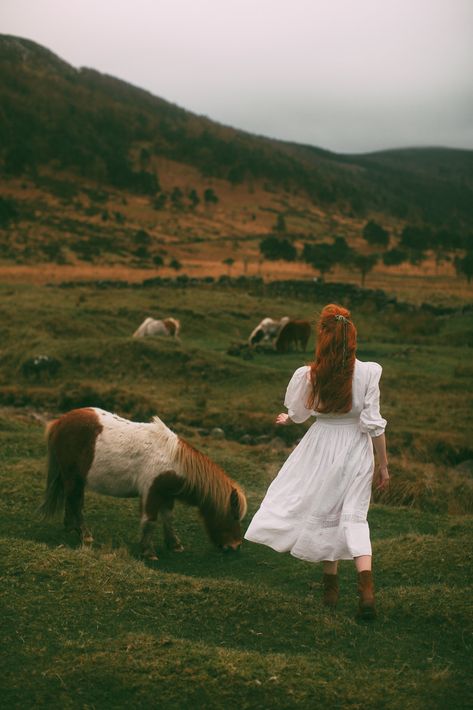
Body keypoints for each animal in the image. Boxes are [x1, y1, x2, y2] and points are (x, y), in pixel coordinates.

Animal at [38, 408, 247, 564]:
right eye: (233, 515)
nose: (235, 546)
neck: (173, 461)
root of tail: (59, 422)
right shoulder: (151, 492)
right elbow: (150, 520)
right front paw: (148, 552)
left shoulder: (167, 495)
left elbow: (168, 518)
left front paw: (174, 544)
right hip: (72, 475)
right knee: (75, 501)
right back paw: (85, 535)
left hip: (75, 477)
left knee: (71, 498)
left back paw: (70, 527)